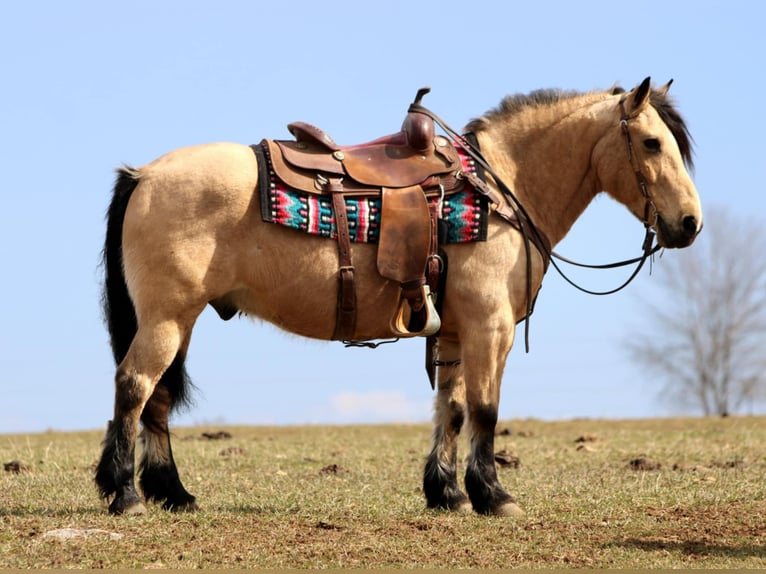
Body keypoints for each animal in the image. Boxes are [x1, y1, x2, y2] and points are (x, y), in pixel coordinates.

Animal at [96, 77, 702, 517]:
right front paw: (493, 495)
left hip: (180, 321)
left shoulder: (454, 331)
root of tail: (143, 174)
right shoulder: (490, 327)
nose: (690, 224)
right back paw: (126, 495)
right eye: (651, 142)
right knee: (135, 386)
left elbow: (451, 409)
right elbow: (485, 409)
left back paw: (174, 494)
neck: (499, 188)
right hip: (166, 318)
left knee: (159, 399)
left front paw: (448, 494)